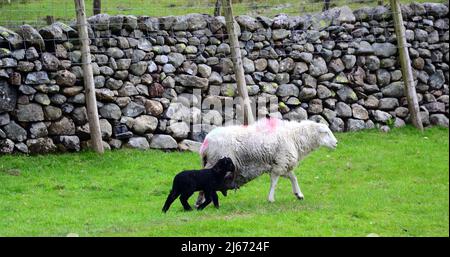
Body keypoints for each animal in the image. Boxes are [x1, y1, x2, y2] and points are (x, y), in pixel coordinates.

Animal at [197, 117, 338, 203]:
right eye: (326, 132)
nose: (336, 143)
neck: (294, 136)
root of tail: (205, 143)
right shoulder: (280, 163)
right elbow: (274, 183)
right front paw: (270, 199)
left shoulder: (282, 163)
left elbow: (293, 177)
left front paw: (299, 194)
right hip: (215, 163)